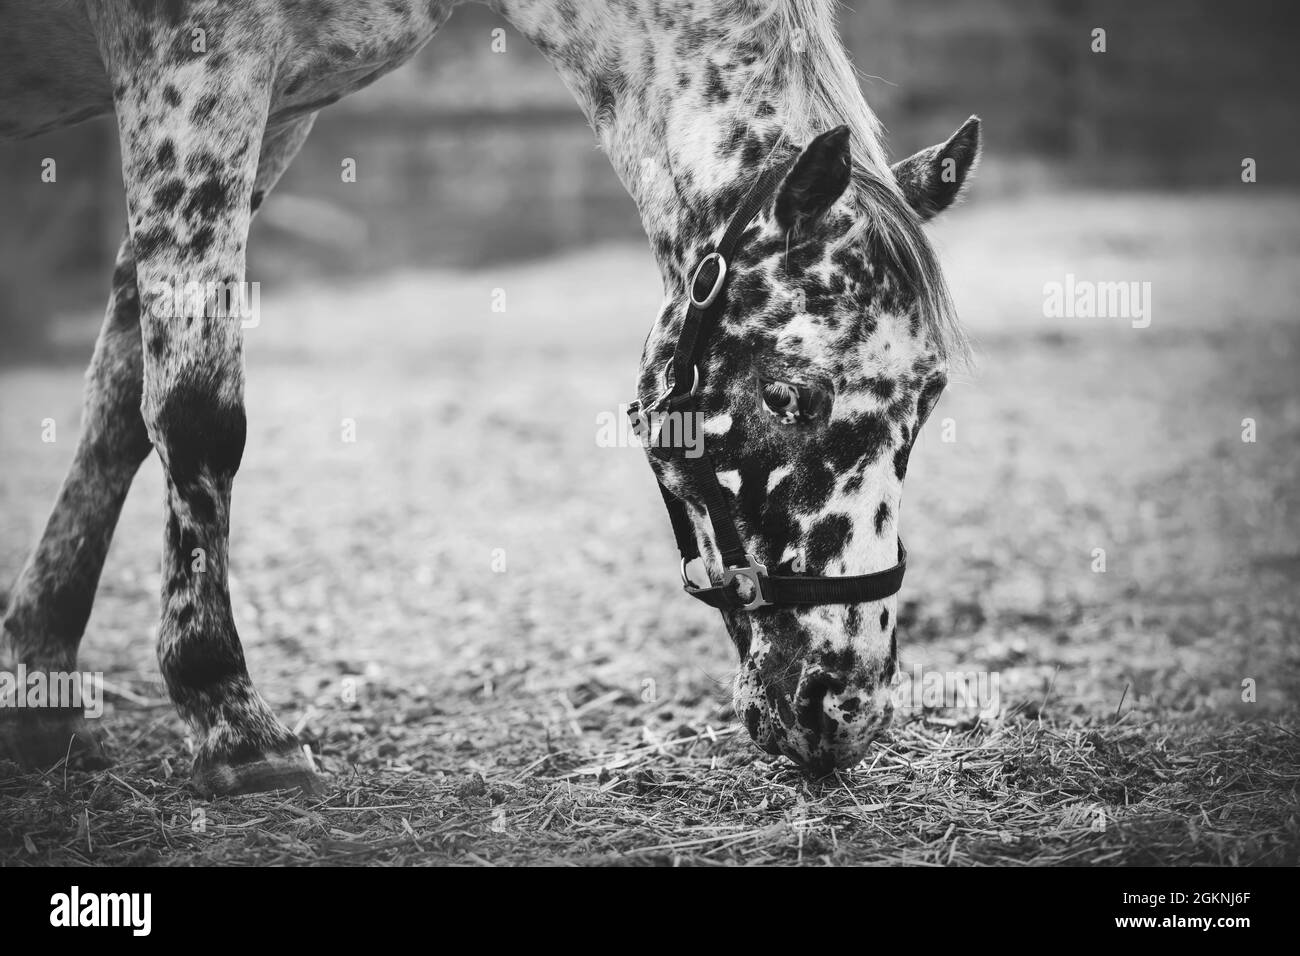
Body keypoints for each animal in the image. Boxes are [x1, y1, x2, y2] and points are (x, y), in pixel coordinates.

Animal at [0, 0, 980, 795]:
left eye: (929, 401)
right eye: (787, 397)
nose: (845, 707)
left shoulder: (273, 114)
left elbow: (123, 402)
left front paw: (41, 687)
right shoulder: (197, 69)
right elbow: (197, 411)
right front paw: (231, 721)